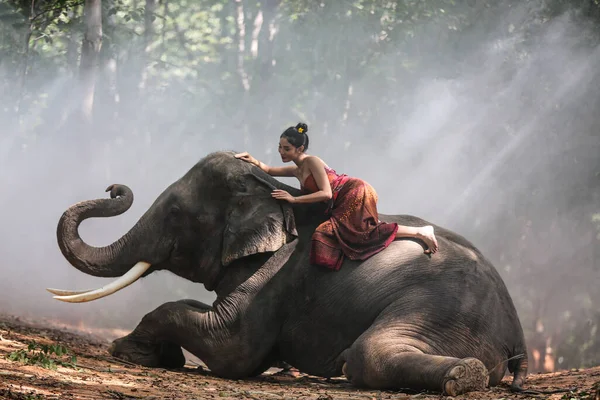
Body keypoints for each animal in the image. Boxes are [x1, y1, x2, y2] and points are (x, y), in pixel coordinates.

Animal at [49, 152, 528, 396]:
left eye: (175, 214)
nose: (114, 187)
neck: (278, 195)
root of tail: (516, 331)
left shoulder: (273, 277)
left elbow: (233, 348)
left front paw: (128, 351)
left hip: (443, 311)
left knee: (368, 352)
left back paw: (461, 377)